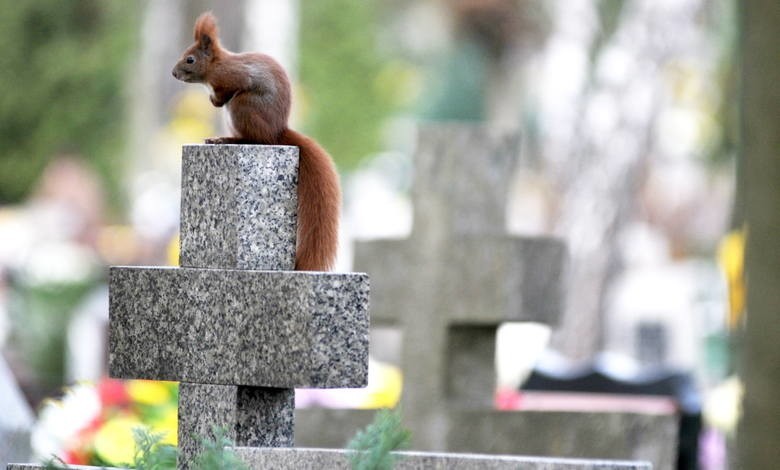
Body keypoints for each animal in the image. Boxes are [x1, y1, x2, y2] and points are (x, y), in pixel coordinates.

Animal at [172, 11, 340, 272]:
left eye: (190, 59)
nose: (174, 73)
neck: (216, 66)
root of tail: (277, 132)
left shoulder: (234, 77)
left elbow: (227, 90)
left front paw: (214, 100)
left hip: (242, 107)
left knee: (254, 137)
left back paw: (226, 139)